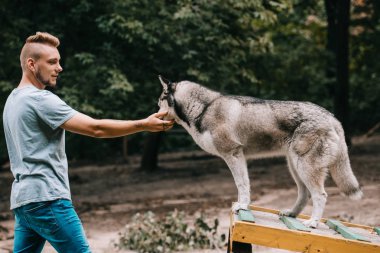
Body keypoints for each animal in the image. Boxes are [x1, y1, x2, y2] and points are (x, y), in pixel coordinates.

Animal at [157, 76, 362, 228]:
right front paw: (243, 206)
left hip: (304, 168)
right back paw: (292, 214)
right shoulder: (238, 157)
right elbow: (244, 184)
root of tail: (332, 117)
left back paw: (312, 222)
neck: (204, 109)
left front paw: (242, 206)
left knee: (320, 195)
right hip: (295, 168)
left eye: (159, 101)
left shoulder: (233, 154)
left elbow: (241, 184)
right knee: (305, 195)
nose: (155, 113)